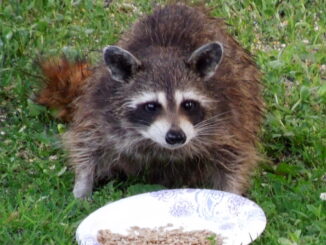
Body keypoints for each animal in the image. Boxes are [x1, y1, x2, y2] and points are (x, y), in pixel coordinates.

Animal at [36, 4, 264, 199]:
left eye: (188, 104)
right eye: (152, 106)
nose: (176, 136)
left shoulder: (230, 113)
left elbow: (234, 156)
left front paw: (232, 194)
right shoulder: (100, 105)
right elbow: (87, 142)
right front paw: (83, 184)